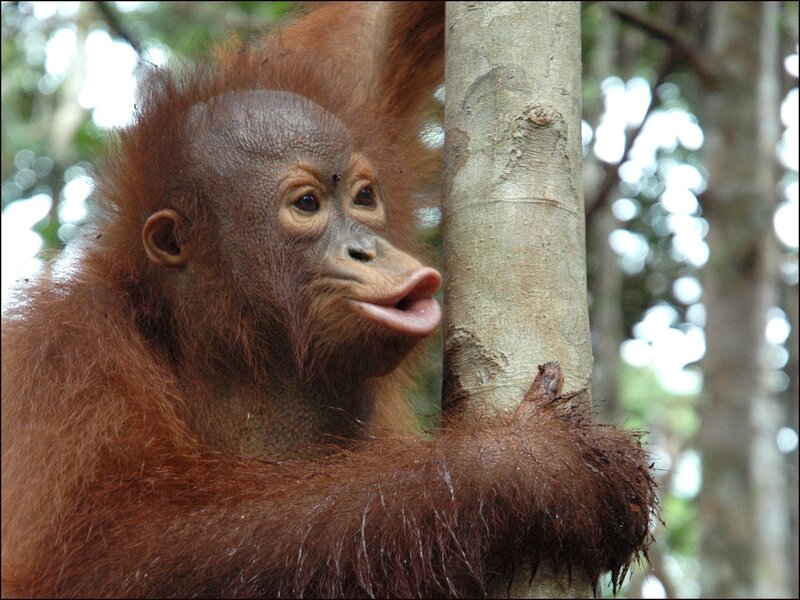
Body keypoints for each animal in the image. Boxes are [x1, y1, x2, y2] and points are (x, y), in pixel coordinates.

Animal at [1, 3, 656, 597]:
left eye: (364, 197)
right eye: (308, 205)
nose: (367, 248)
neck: (233, 350)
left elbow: (374, 29)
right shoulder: (71, 357)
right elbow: (103, 556)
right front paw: (528, 465)